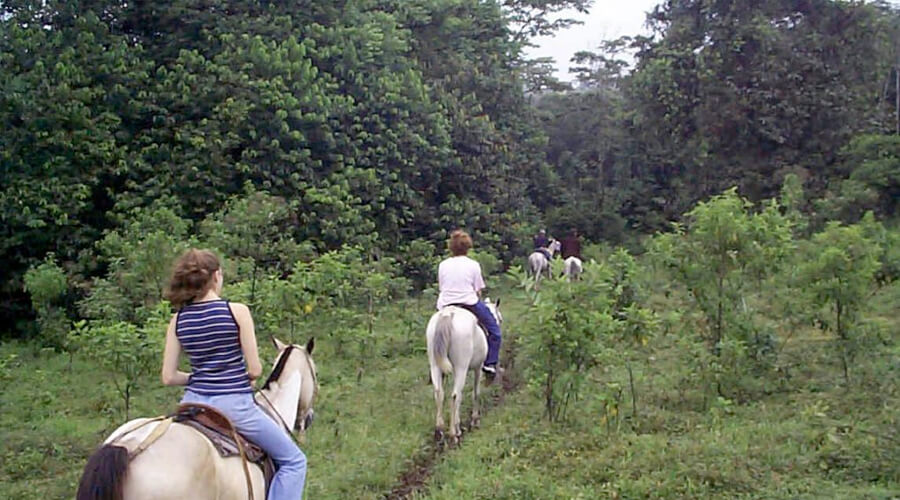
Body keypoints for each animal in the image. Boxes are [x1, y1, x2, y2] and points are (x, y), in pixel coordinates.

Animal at [428, 298, 502, 444]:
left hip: (435, 365)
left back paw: (439, 431)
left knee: (439, 393)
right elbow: (475, 393)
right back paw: (453, 435)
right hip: (460, 367)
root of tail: (448, 314)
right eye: (499, 320)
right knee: (455, 395)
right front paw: (474, 421)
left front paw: (458, 425)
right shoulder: (478, 367)